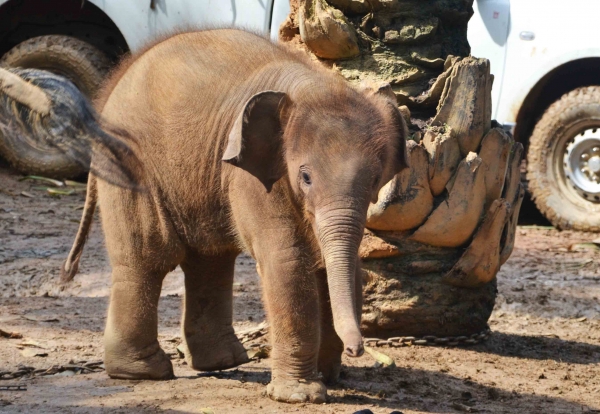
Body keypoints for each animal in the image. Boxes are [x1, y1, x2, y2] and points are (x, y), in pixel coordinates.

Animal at [57, 28, 408, 402]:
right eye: (306, 177)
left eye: (375, 178)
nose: (358, 350)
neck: (310, 83)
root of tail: (111, 87)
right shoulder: (251, 176)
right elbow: (287, 260)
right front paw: (302, 395)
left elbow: (341, 263)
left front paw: (328, 377)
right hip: (129, 163)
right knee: (149, 256)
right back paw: (144, 372)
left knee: (209, 258)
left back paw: (223, 362)